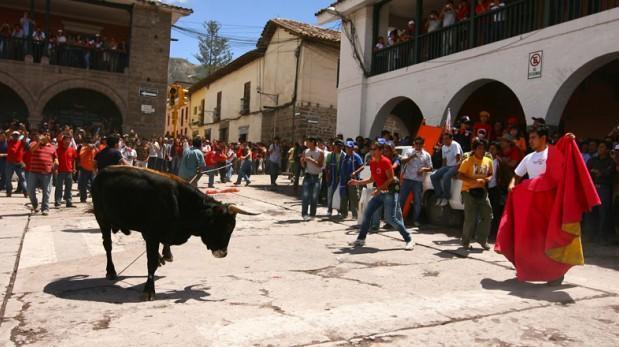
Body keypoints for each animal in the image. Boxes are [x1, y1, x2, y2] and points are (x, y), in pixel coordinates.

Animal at [92, 167, 256, 300]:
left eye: (231, 228)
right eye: (224, 227)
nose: (223, 253)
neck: (179, 202)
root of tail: (101, 173)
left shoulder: (157, 234)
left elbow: (162, 248)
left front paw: (165, 255)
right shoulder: (152, 235)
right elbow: (150, 263)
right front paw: (149, 290)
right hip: (102, 219)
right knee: (108, 246)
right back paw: (111, 271)